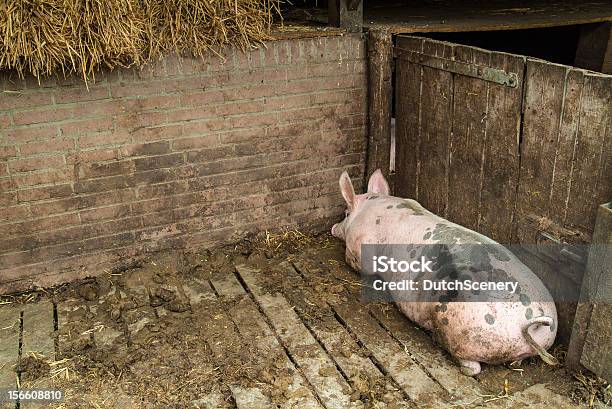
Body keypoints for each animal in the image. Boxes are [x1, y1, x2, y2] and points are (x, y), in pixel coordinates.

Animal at [332, 169, 556, 376]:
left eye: (345, 213)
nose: (333, 227)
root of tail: (530, 318)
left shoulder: (362, 250)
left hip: (461, 327)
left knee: (472, 366)